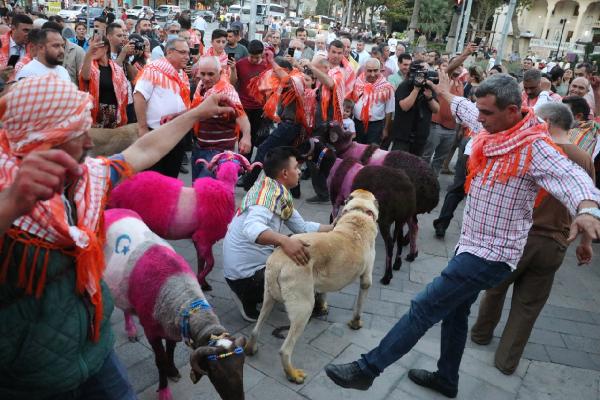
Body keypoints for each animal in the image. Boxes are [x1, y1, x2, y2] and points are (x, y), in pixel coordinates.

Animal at [103, 209, 246, 400]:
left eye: (242, 364)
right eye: (215, 370)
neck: (181, 296)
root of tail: (112, 210)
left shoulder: (170, 324)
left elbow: (170, 350)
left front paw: (172, 370)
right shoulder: (151, 331)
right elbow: (160, 359)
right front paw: (164, 390)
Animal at [110, 152, 260, 290]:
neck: (223, 186)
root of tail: (116, 191)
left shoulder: (197, 240)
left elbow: (201, 262)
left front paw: (203, 284)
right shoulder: (204, 238)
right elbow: (211, 263)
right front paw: (199, 280)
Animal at [245, 191, 380, 384]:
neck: (359, 212)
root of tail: (279, 259)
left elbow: (323, 292)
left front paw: (323, 307)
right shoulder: (366, 279)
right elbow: (360, 305)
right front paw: (355, 323)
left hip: (268, 297)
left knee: (256, 329)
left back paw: (251, 348)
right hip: (303, 308)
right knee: (285, 350)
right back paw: (293, 374)